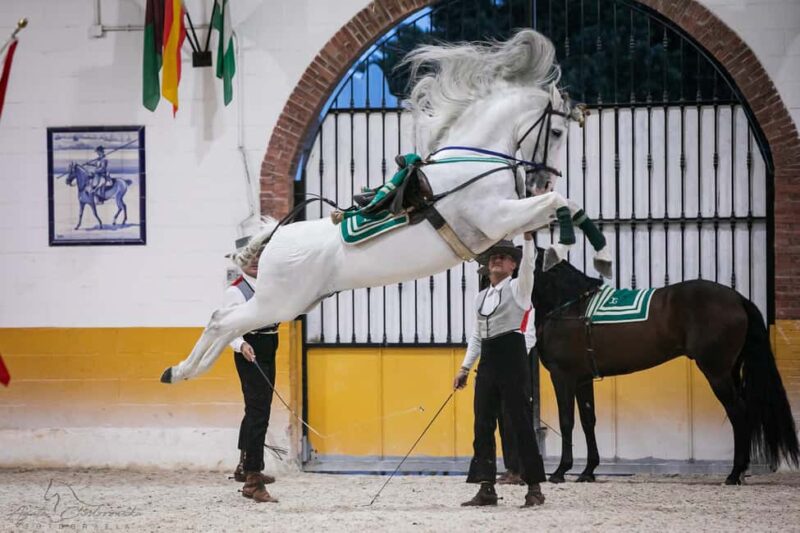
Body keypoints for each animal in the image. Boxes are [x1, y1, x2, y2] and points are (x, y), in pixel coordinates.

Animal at [160, 30, 611, 384]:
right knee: (221, 321)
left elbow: (562, 209)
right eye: (557, 132)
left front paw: (577, 254)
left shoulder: (504, 222)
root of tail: (275, 238)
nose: (542, 179)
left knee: (224, 321)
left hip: (289, 304)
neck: (473, 159)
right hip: (278, 303)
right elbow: (561, 203)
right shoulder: (495, 216)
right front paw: (575, 250)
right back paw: (182, 371)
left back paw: (183, 371)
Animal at [531, 250, 799, 485]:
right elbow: (588, 421)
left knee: (738, 412)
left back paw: (734, 474)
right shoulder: (583, 379)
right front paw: (587, 471)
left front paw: (560, 471)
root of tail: (738, 299)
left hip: (717, 373)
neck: (569, 306)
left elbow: (567, 421)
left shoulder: (563, 376)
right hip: (730, 371)